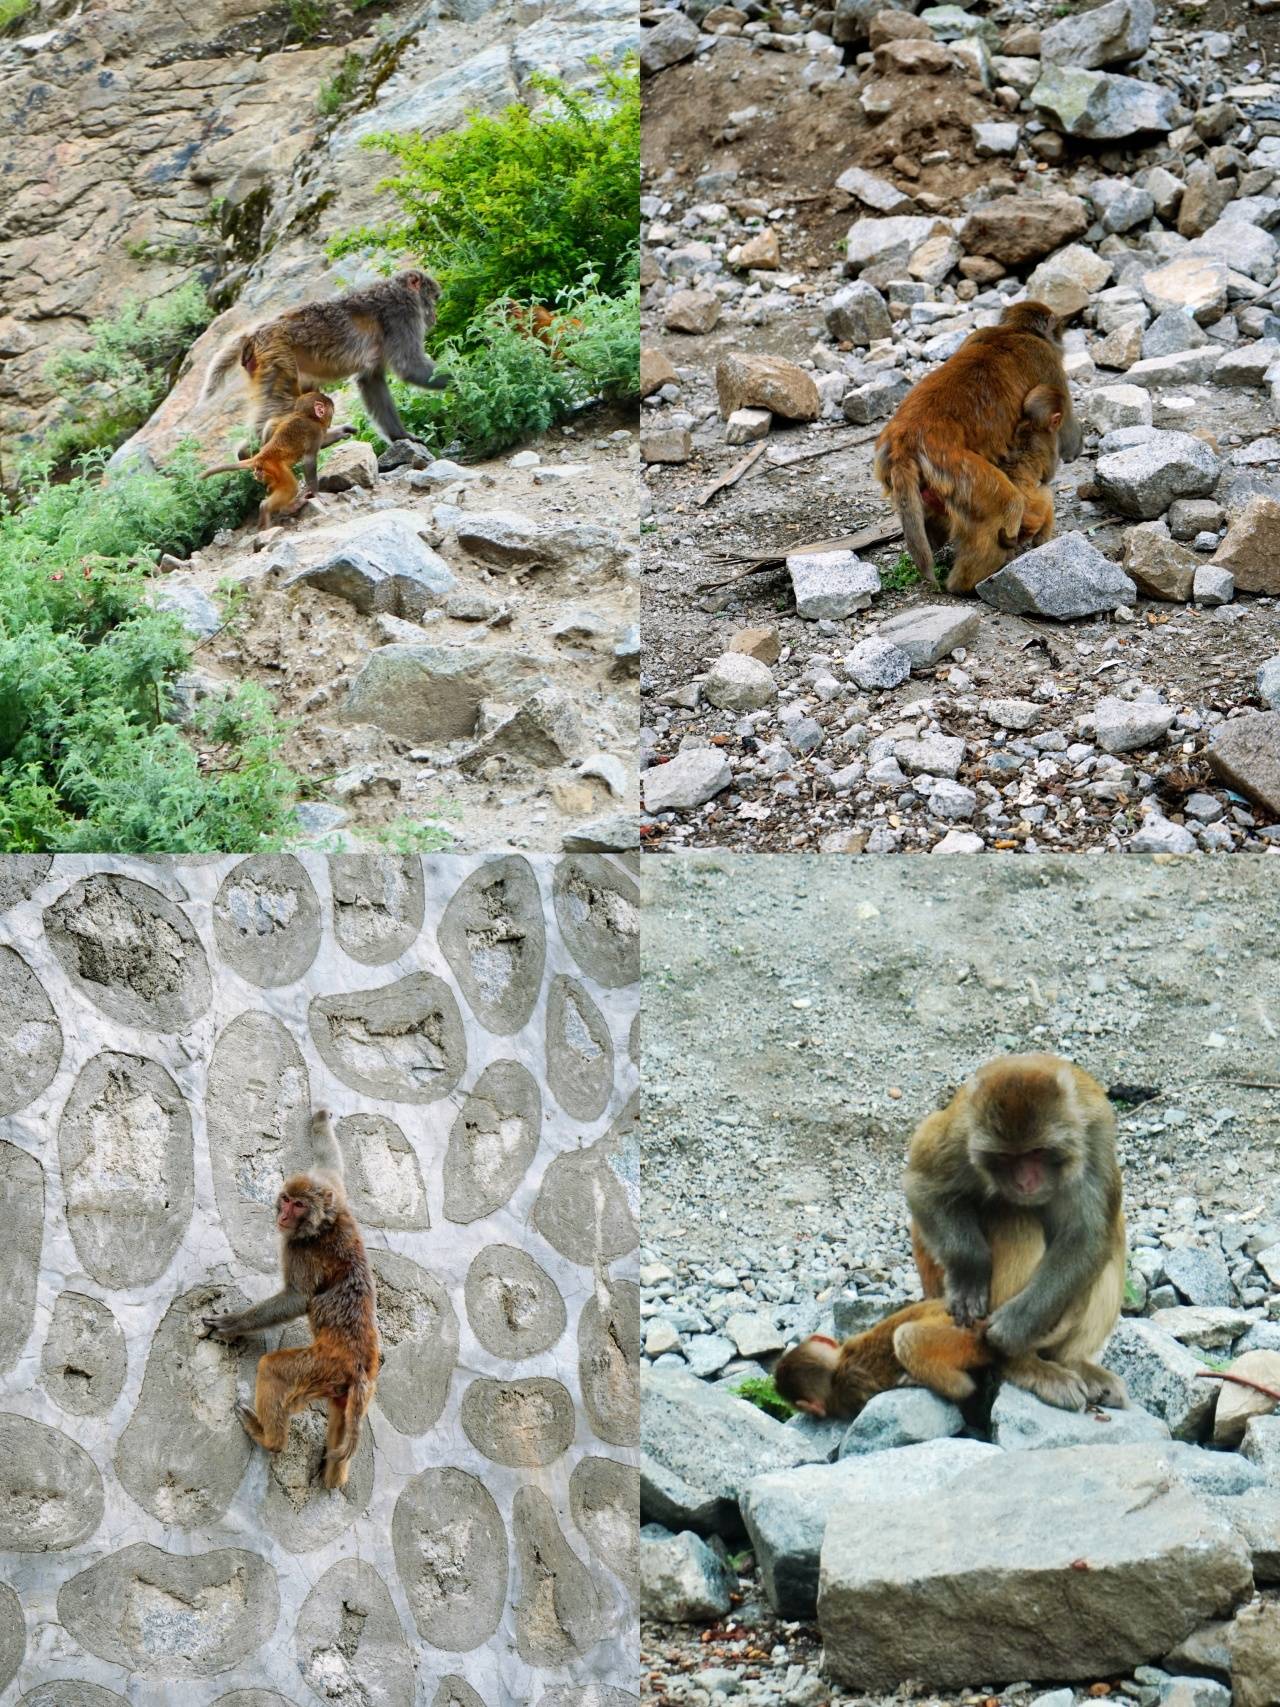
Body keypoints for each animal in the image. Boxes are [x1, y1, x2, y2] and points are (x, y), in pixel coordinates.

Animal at [201, 390, 353, 529]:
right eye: (331, 409)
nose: (331, 417)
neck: (308, 416)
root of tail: (261, 456)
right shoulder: (314, 430)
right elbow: (309, 459)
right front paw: (316, 493)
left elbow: (324, 441)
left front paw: (345, 430)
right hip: (275, 467)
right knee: (290, 487)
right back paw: (270, 508)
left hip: (264, 472)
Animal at [201, 1112, 380, 1488]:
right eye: (285, 1199)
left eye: (298, 1205)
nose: (283, 1215)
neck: (325, 1222)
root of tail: (359, 1369)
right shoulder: (334, 1191)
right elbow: (331, 1164)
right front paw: (320, 1119)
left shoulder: (300, 1250)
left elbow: (298, 1299)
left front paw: (232, 1324)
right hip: (352, 1393)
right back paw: (335, 1478)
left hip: (321, 1367)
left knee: (274, 1369)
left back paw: (269, 1438)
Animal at [873, 303, 1085, 597]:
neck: (1015, 330)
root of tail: (905, 441)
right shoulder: (1049, 363)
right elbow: (1064, 437)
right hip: (958, 471)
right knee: (1005, 507)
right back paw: (966, 586)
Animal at [907, 1051, 1126, 1413]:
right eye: (1006, 1157)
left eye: (1036, 1152)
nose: (1024, 1182)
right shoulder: (962, 1132)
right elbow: (923, 1185)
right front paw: (969, 1273)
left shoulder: (1094, 1136)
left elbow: (1088, 1236)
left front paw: (1017, 1324)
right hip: (934, 1286)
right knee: (1012, 1215)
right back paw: (1024, 1365)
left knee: (1113, 1237)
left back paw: (1070, 1361)